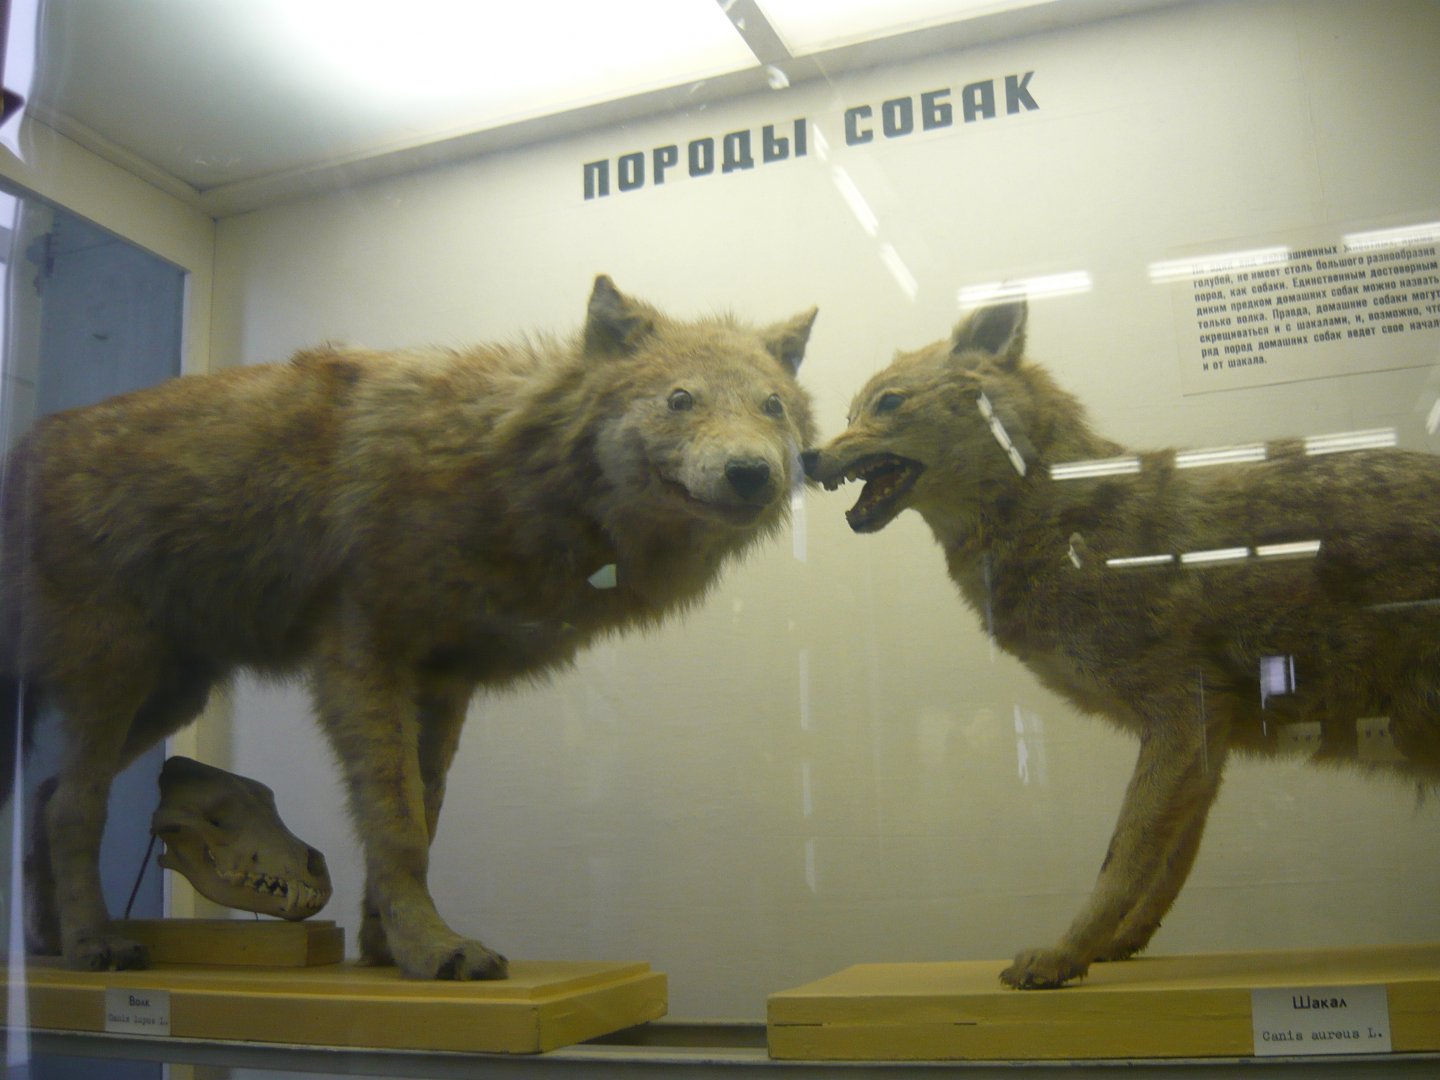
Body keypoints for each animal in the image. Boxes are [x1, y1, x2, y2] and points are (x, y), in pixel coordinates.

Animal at [1, 274, 817, 979]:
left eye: (772, 406)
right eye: (680, 399)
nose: (753, 473)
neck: (507, 472)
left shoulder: (447, 678)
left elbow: (423, 815)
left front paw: (386, 950)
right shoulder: (364, 657)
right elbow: (395, 821)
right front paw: (435, 951)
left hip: (173, 693)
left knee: (46, 794)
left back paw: (48, 944)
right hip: (117, 674)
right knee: (74, 805)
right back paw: (95, 944)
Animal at [803, 300, 1440, 989]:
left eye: (888, 403)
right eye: (849, 414)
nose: (805, 457)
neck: (1070, 526)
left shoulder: (1181, 715)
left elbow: (1125, 856)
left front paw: (1062, 955)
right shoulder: (1205, 740)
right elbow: (1168, 865)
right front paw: (1118, 944)